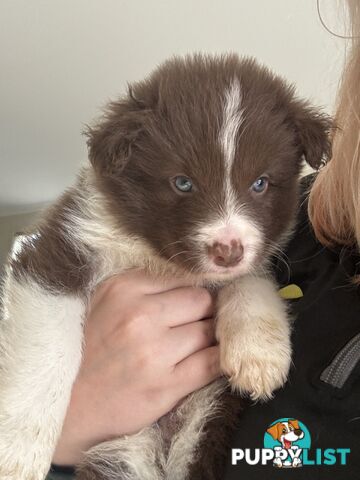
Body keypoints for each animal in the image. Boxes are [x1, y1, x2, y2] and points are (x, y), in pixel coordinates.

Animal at [0, 53, 332, 480]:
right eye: (182, 183)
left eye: (260, 183)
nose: (228, 251)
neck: (159, 259)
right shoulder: (60, 249)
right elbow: (48, 352)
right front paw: (17, 451)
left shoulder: (249, 258)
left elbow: (252, 281)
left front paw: (258, 352)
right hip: (125, 454)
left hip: (203, 421)